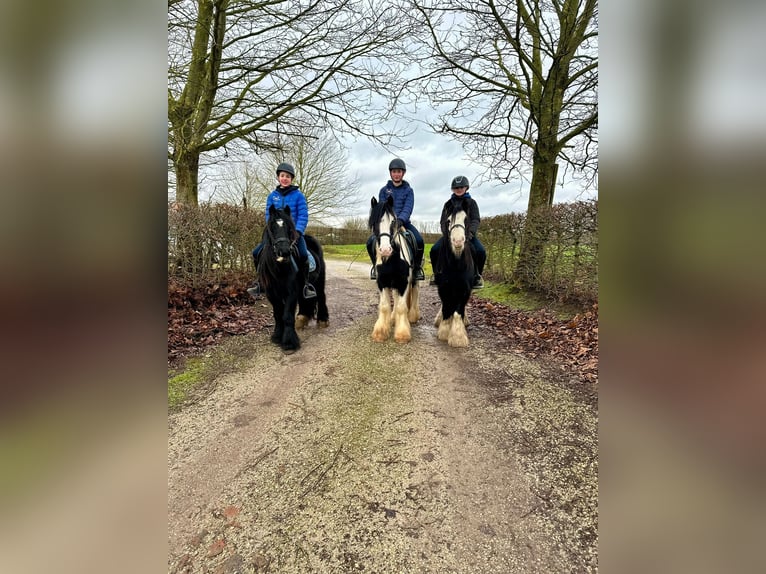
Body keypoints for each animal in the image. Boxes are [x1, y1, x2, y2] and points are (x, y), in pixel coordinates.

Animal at [260, 205, 328, 354]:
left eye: (289, 227)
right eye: (272, 226)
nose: (284, 251)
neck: (280, 268)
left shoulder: (291, 292)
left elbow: (287, 316)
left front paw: (289, 343)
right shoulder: (272, 294)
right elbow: (278, 314)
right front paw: (277, 336)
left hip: (319, 281)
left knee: (321, 296)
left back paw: (323, 320)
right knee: (304, 300)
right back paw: (302, 318)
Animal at [368, 196, 424, 344]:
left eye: (393, 221)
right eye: (374, 222)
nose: (385, 250)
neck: (391, 259)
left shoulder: (403, 282)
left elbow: (401, 307)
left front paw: (402, 334)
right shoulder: (382, 282)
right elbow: (385, 306)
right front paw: (380, 332)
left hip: (413, 279)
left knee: (415, 292)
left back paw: (412, 316)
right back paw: (393, 319)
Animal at [436, 198, 476, 348]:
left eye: (466, 219)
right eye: (448, 221)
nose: (458, 241)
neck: (456, 264)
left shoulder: (465, 289)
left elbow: (458, 311)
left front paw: (458, 337)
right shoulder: (443, 288)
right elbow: (447, 308)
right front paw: (444, 331)